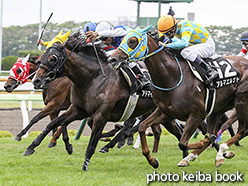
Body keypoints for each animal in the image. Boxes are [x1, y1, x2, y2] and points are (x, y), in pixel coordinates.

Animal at [26, 34, 186, 171]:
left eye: (52, 58)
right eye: (40, 59)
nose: (37, 80)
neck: (92, 78)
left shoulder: (100, 115)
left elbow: (91, 143)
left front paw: (85, 166)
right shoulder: (77, 110)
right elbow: (52, 123)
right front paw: (31, 146)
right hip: (162, 112)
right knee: (177, 132)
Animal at [108, 25, 248, 169]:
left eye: (132, 41)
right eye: (122, 39)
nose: (112, 59)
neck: (172, 77)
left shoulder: (195, 115)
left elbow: (183, 142)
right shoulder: (165, 113)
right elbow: (142, 127)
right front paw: (152, 160)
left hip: (241, 101)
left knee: (242, 130)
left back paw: (222, 150)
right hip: (219, 108)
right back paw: (206, 157)